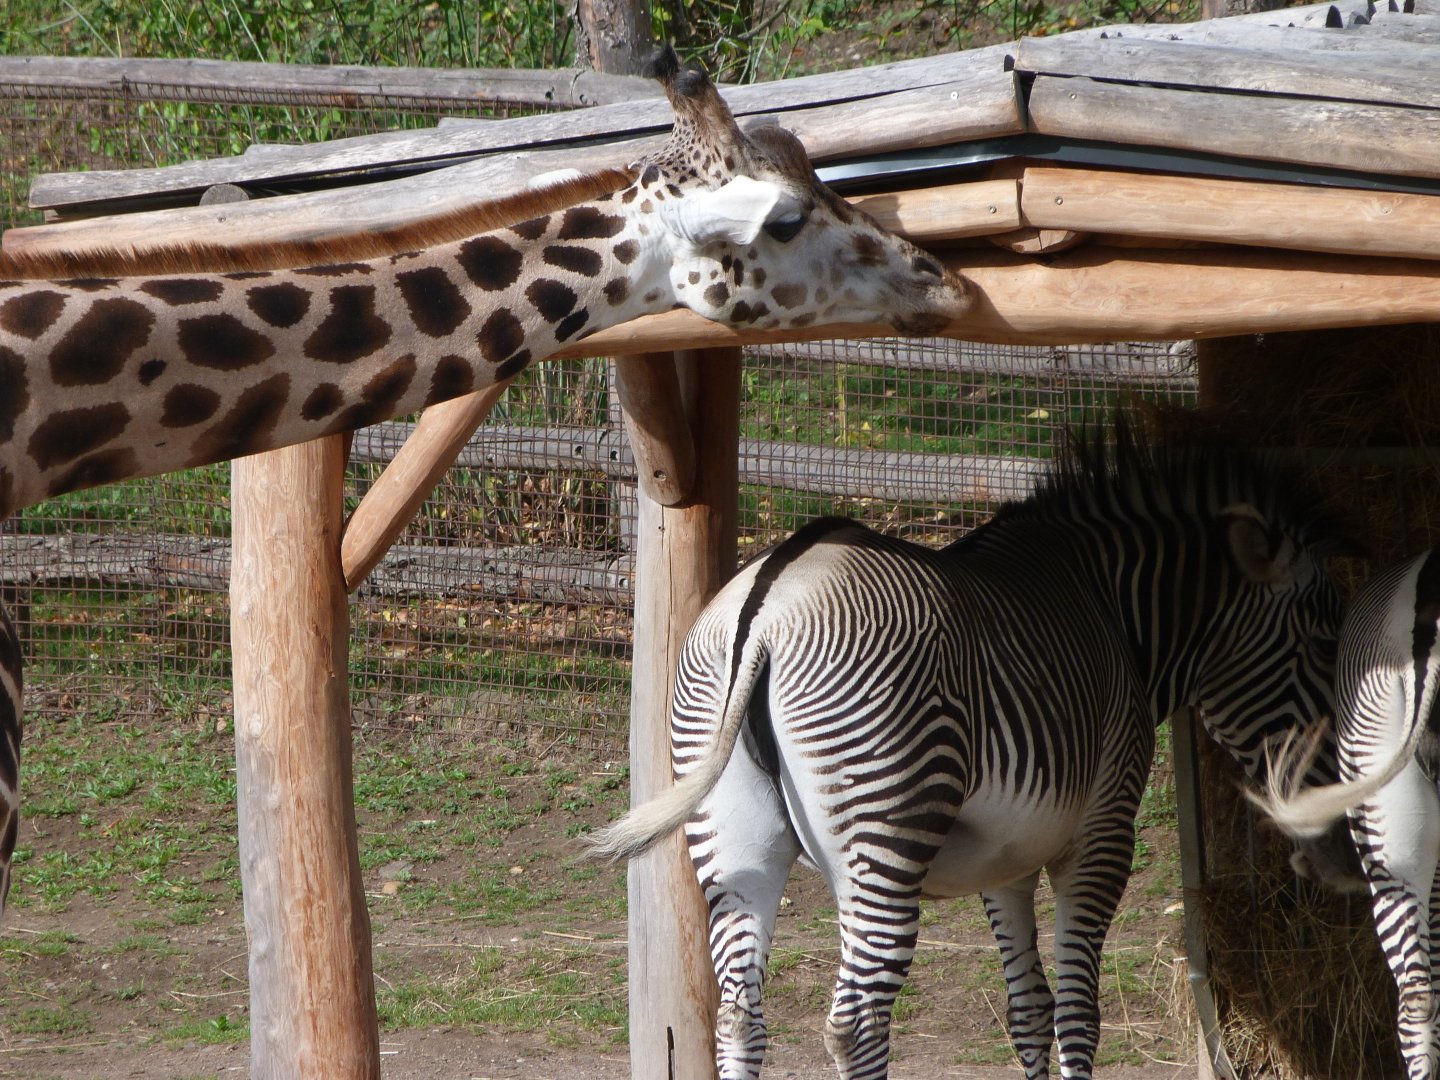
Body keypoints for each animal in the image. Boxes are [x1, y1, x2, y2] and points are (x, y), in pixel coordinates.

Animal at [590, 418, 1358, 1080]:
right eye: (1326, 641)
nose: (1341, 825)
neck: (1114, 611)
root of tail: (766, 604)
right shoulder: (1103, 831)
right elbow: (1078, 1013)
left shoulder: (1005, 860)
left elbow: (1030, 1011)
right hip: (887, 825)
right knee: (857, 1023)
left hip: (731, 833)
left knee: (739, 1018)